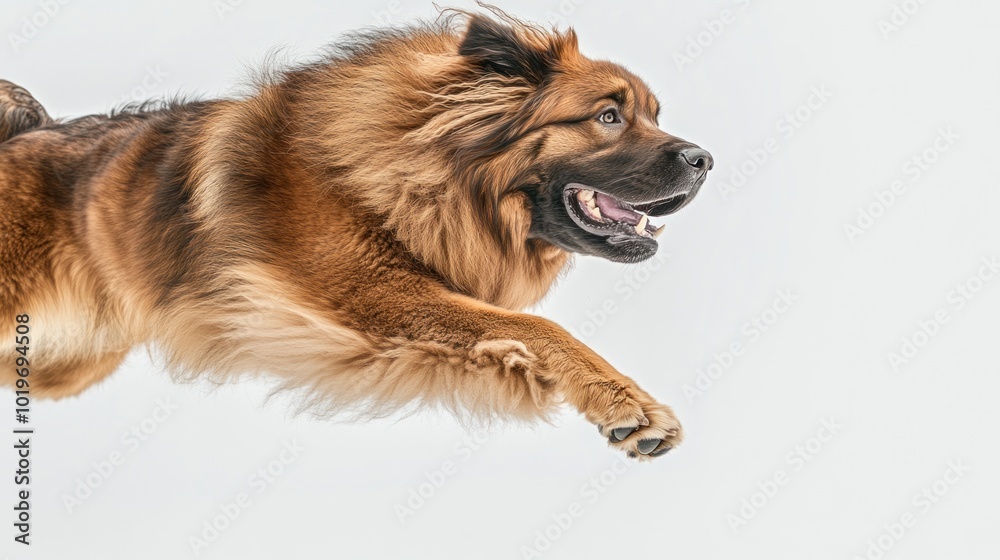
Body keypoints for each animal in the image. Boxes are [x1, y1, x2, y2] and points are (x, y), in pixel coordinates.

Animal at [3, 8, 716, 460]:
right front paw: (626, 402)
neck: (419, 170)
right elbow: (543, 330)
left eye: (654, 115)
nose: (705, 159)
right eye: (607, 116)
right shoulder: (371, 293)